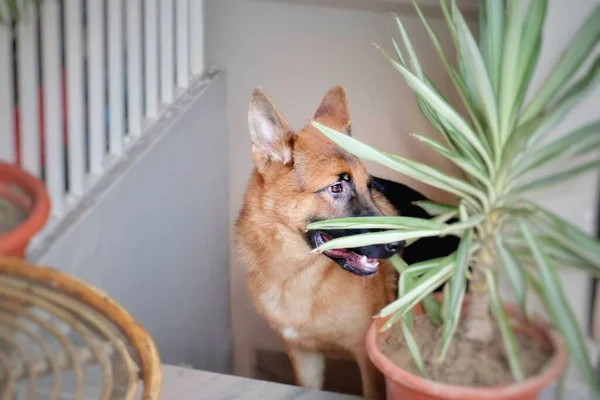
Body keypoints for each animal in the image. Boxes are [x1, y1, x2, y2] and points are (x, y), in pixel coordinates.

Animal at [236, 84, 460, 396]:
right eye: (336, 188)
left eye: (370, 186)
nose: (400, 244)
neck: (296, 276)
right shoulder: (304, 357)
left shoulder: (367, 357)